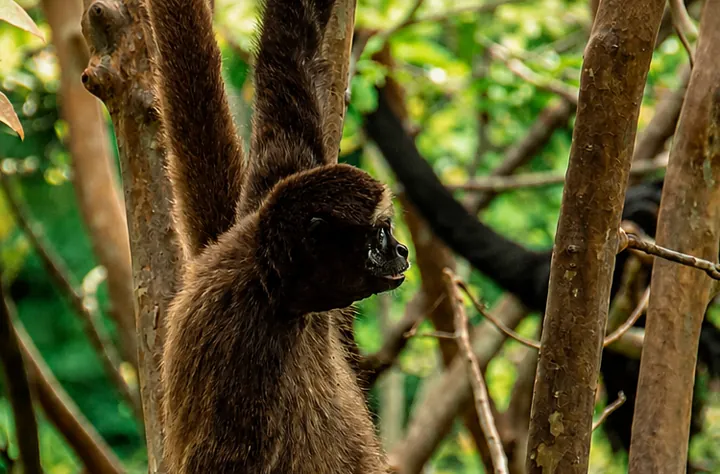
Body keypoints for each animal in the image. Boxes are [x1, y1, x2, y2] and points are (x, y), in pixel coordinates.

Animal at [145, 0, 408, 472]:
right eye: (380, 233)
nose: (401, 250)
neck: (272, 285)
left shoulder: (271, 186)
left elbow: (289, 52)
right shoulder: (242, 349)